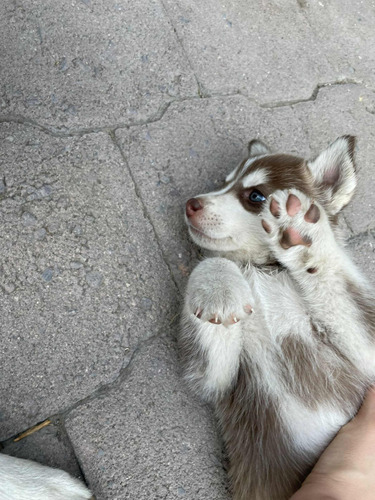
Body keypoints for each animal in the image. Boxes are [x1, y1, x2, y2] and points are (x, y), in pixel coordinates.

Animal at [180, 136, 375, 500]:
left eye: (255, 195)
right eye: (224, 183)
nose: (190, 204)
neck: (264, 269)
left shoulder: (367, 353)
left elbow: (338, 283)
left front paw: (303, 236)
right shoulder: (216, 379)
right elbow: (214, 261)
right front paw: (219, 288)